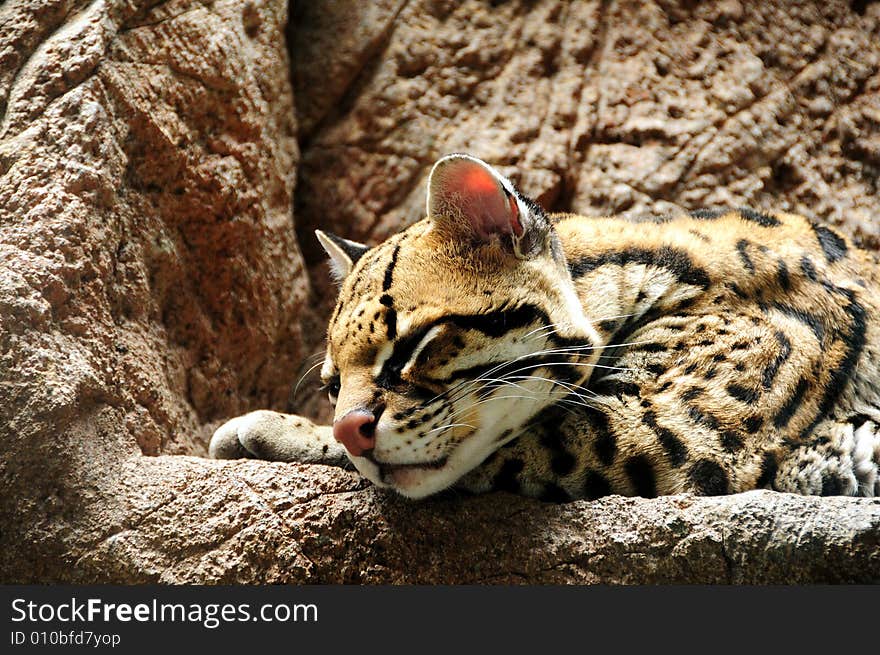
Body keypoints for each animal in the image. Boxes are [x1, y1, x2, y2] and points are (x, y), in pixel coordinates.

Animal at [210, 155, 880, 502]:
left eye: (412, 346)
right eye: (331, 385)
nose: (349, 427)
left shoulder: (677, 430)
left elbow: (495, 454)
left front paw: (272, 428)